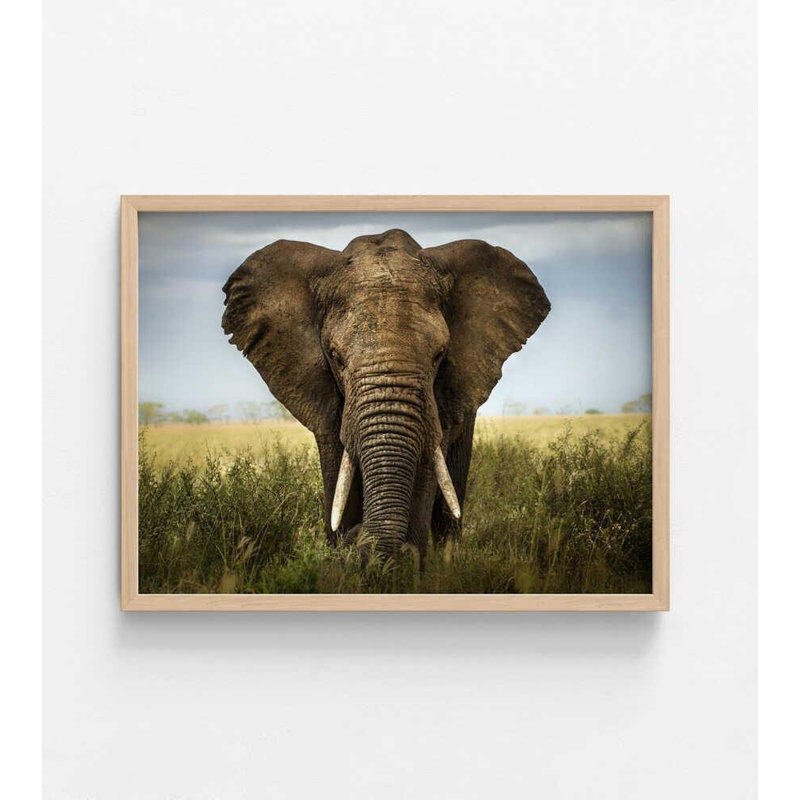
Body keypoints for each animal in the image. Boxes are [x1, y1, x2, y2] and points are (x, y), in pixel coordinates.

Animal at [222, 229, 550, 560]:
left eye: (439, 355)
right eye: (336, 357)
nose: (358, 537)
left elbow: (426, 468)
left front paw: (403, 562)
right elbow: (338, 471)